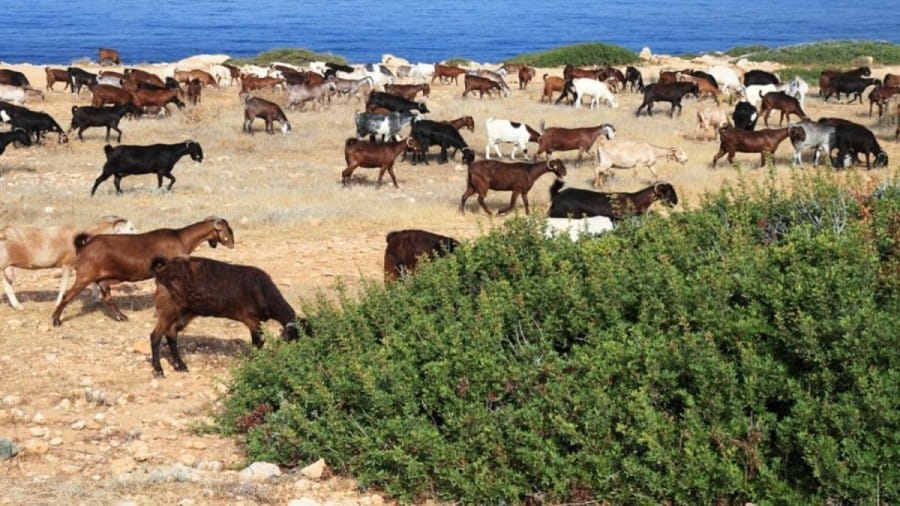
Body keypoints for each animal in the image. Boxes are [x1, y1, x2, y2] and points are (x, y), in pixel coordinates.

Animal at [0, 214, 137, 308]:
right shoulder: (68, 265)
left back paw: (18, 306)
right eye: (130, 228)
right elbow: (63, 286)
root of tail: (3, 231)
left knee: (7, 286)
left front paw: (96, 298)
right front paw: (58, 303)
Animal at [51, 215, 236, 326]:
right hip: (85, 275)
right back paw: (56, 320)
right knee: (67, 296)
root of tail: (84, 246)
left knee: (107, 298)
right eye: (227, 229)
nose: (232, 243)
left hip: (101, 279)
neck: (181, 238)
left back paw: (122, 317)